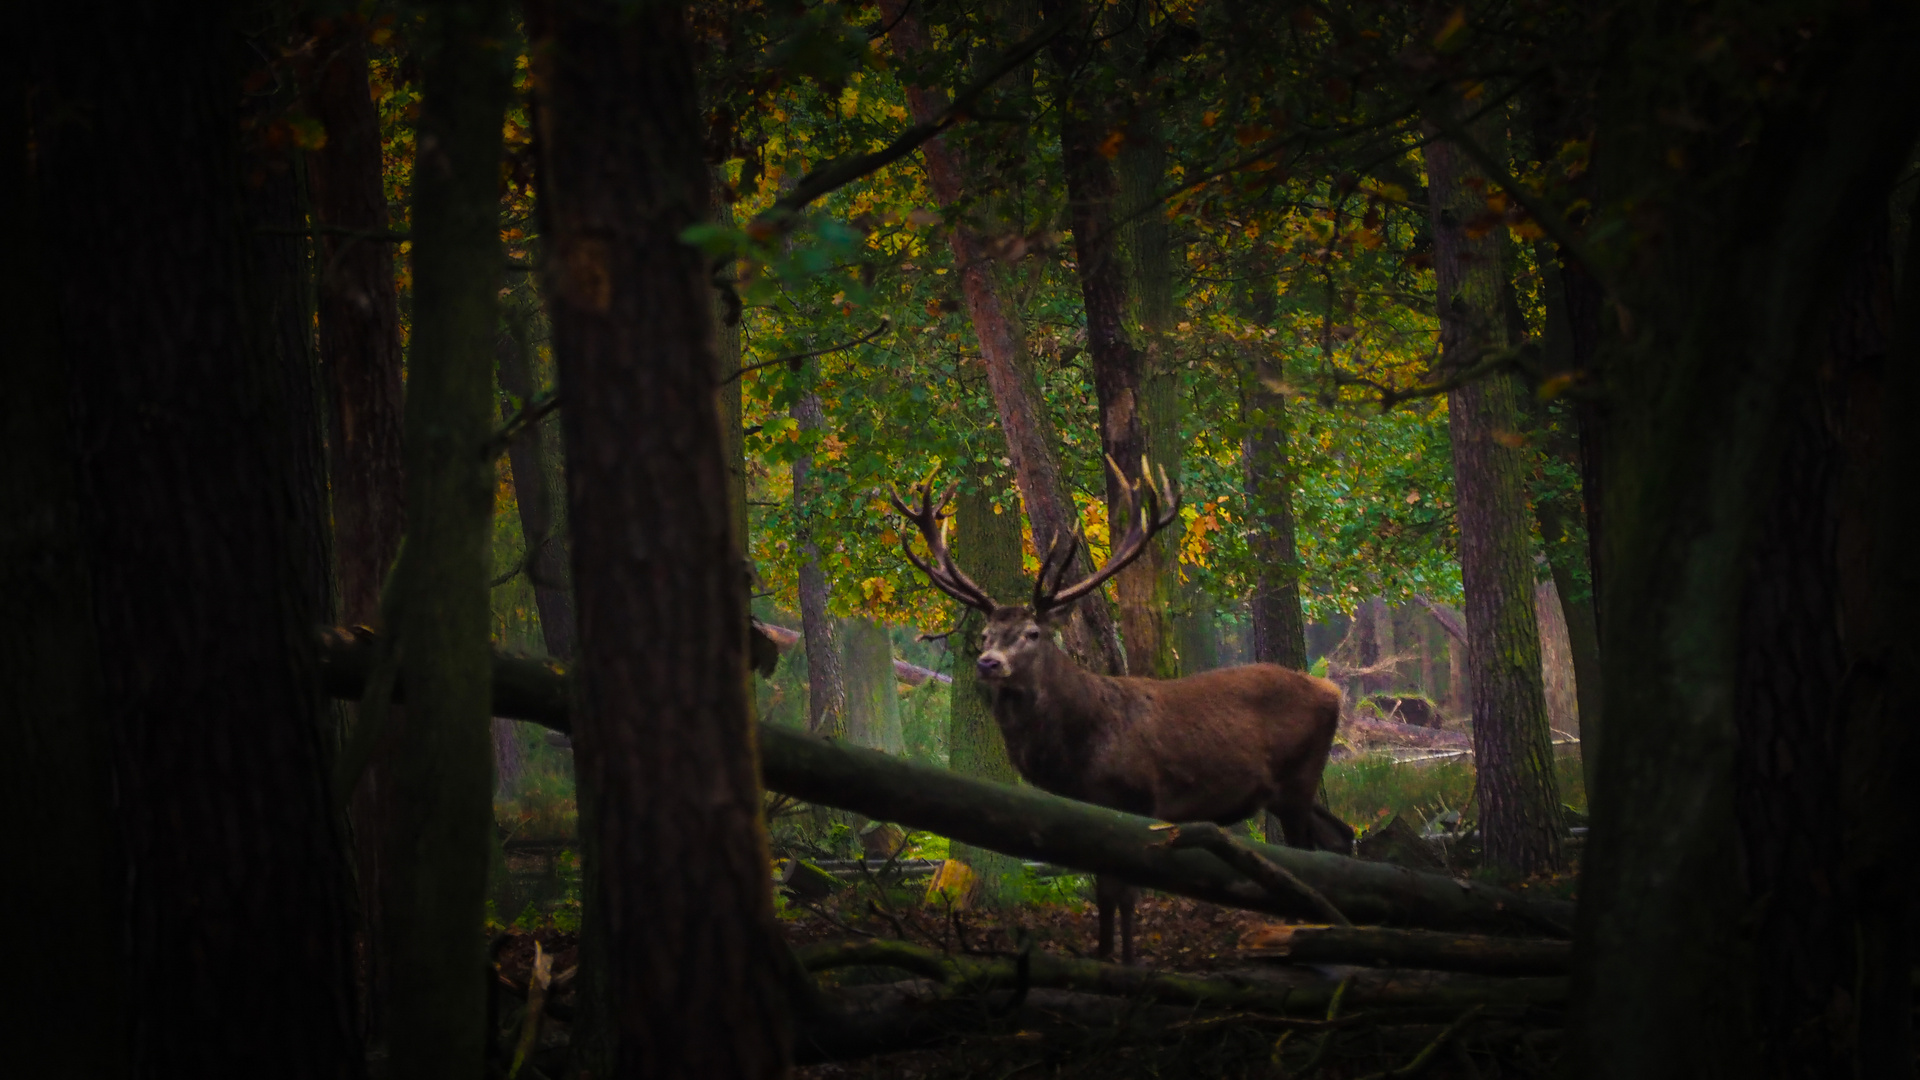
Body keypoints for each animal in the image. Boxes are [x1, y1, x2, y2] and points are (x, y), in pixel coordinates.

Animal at [887, 461, 1351, 957]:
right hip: (1292, 789)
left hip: (1298, 778)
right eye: (987, 634)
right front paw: (1107, 955)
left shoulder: (1137, 799)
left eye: (1033, 633)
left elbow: (1123, 893)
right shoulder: (1092, 811)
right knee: (1340, 836)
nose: (988, 663)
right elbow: (1103, 893)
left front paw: (1125, 960)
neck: (1080, 748)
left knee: (1306, 855)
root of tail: (1333, 691)